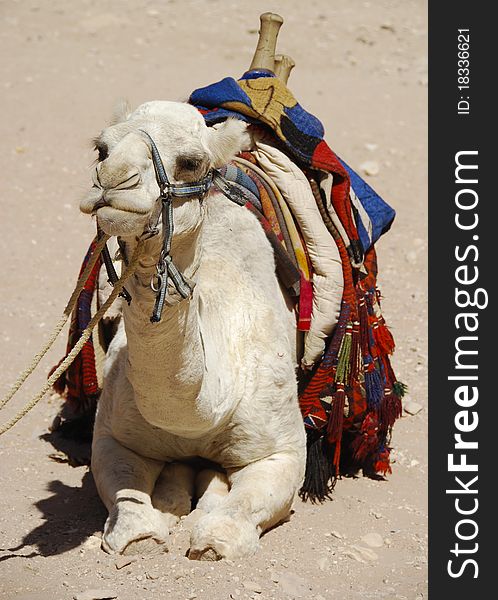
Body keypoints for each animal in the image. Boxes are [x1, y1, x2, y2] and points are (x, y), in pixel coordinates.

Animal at [80, 101, 308, 560]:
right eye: (102, 149)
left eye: (190, 162)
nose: (113, 180)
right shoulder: (112, 435)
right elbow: (128, 502)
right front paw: (142, 531)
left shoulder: (284, 451)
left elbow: (239, 513)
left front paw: (213, 537)